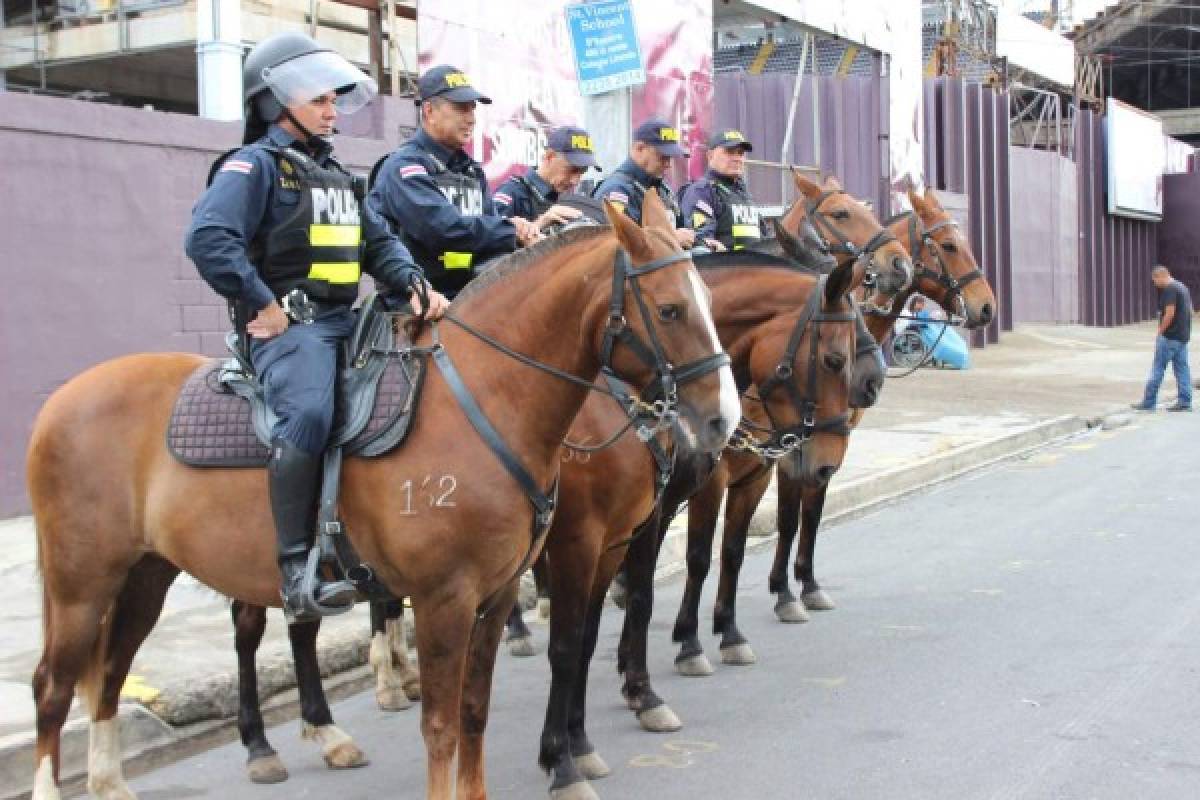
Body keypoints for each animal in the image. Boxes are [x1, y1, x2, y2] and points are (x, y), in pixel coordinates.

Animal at [25, 191, 739, 800]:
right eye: (670, 310)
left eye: (709, 299)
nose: (724, 420)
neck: (485, 399)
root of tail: (61, 400)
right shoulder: (451, 596)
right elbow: (445, 724)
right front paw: (564, 758)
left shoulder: (500, 592)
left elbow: (475, 711)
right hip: (82, 583)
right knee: (55, 686)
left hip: (145, 575)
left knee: (112, 672)